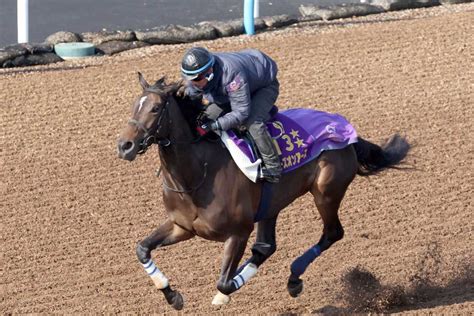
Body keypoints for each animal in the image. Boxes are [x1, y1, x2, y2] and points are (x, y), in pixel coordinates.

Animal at [116, 73, 410, 310]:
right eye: (134, 106)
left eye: (155, 108)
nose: (125, 145)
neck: (197, 174)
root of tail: (347, 131)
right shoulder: (182, 226)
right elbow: (142, 249)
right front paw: (172, 295)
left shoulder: (238, 232)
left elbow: (223, 283)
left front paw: (223, 294)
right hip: (272, 204)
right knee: (267, 246)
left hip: (326, 192)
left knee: (332, 233)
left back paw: (294, 278)